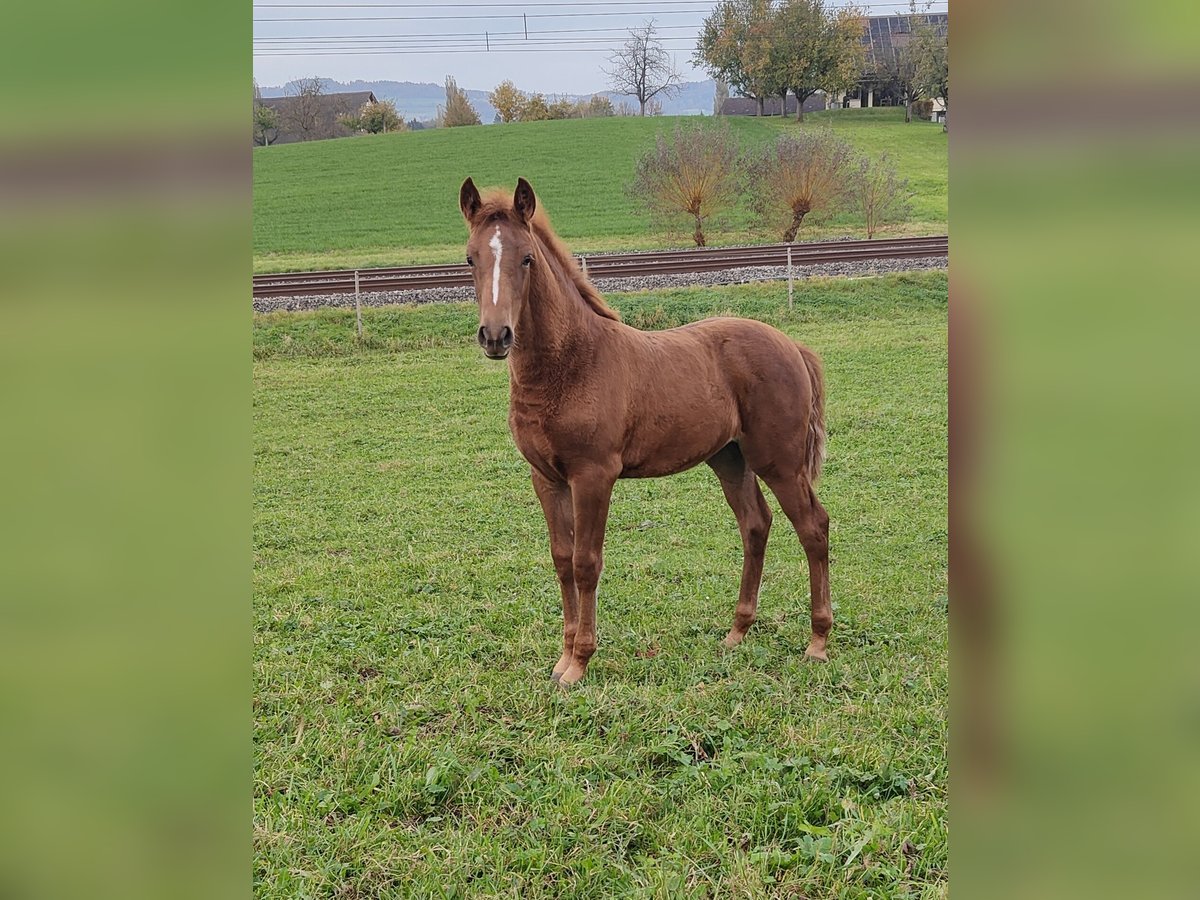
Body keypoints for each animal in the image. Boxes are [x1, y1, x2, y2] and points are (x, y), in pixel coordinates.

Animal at [459, 177, 831, 686]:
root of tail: (791, 344)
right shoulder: (546, 478)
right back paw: (737, 632)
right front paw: (561, 660)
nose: (495, 337)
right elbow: (561, 560)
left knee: (814, 526)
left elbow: (586, 563)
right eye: (470, 258)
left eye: (527, 258)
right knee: (755, 525)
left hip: (780, 462)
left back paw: (817, 641)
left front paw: (579, 662)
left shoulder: (593, 476)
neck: (572, 364)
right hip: (729, 458)